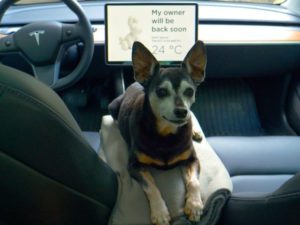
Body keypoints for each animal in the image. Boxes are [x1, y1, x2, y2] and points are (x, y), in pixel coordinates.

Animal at [109, 40, 207, 225]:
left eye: (189, 91)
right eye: (161, 91)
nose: (182, 111)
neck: (166, 134)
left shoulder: (192, 159)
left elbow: (194, 182)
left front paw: (194, 205)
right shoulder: (135, 166)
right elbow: (152, 187)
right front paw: (160, 213)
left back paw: (195, 132)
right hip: (112, 107)